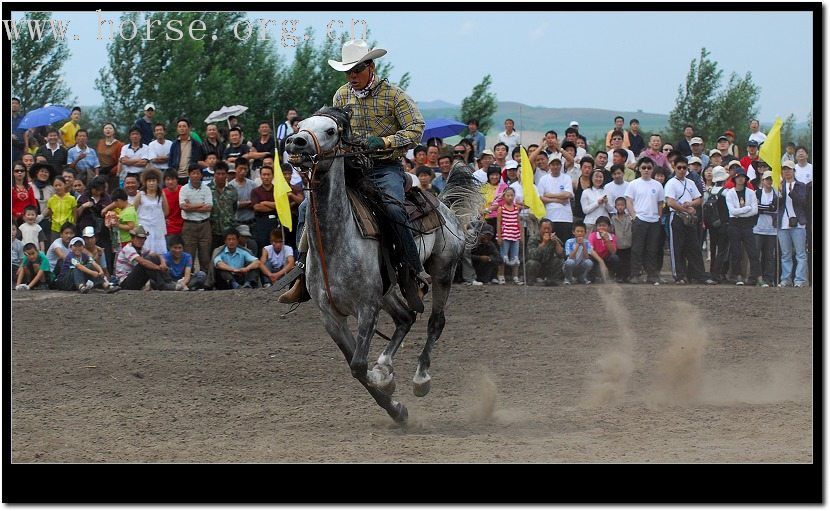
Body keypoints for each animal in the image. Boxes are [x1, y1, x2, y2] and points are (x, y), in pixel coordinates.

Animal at [286, 107, 484, 424]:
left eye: (331, 131)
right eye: (301, 125)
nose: (296, 143)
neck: (335, 239)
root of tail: (442, 205)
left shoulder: (367, 308)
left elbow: (358, 365)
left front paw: (385, 381)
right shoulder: (331, 317)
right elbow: (356, 368)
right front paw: (395, 405)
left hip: (443, 271)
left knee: (434, 322)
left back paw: (420, 379)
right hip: (388, 291)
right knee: (405, 318)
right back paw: (388, 366)